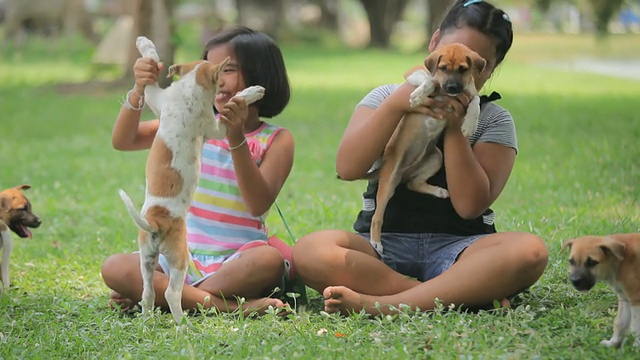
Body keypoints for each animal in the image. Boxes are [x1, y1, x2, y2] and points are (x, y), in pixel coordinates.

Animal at [119, 36, 264, 324]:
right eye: (222, 77)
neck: (188, 89)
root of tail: (156, 220)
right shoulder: (215, 126)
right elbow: (232, 107)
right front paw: (251, 92)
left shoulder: (157, 99)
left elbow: (150, 73)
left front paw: (144, 44)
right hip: (179, 258)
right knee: (171, 293)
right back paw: (183, 326)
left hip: (146, 258)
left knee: (148, 293)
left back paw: (147, 322)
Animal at [370, 43, 484, 253]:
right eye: (443, 68)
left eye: (463, 69)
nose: (452, 88)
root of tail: (406, 170)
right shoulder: (414, 72)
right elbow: (429, 79)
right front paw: (418, 96)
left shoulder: (470, 93)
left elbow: (476, 102)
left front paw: (469, 124)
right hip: (389, 180)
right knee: (378, 216)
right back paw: (376, 242)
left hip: (436, 158)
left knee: (413, 183)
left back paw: (438, 191)